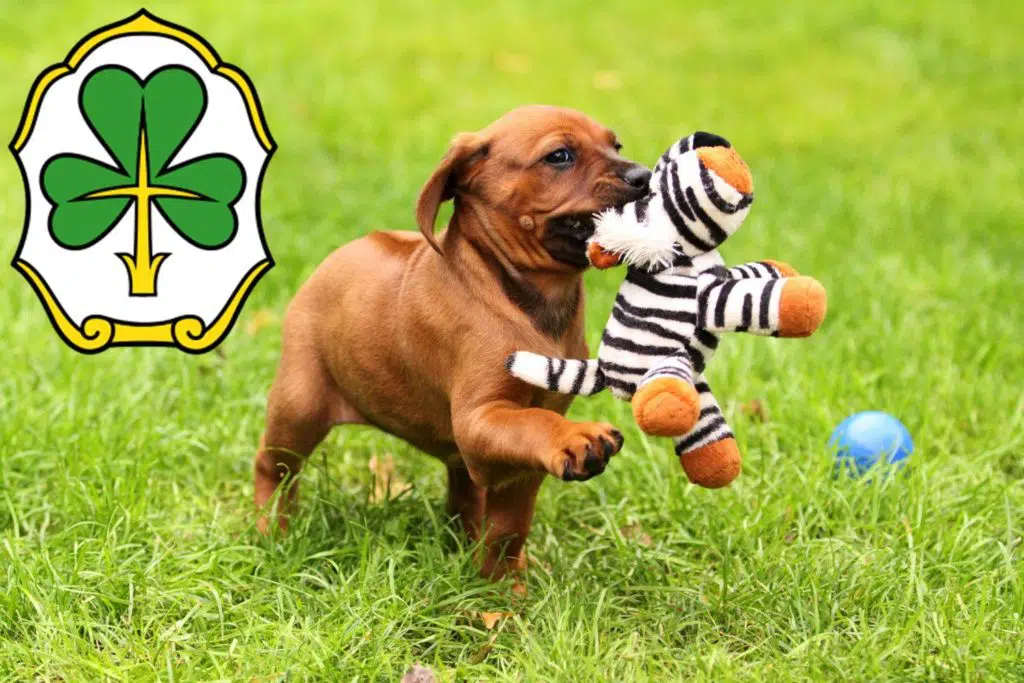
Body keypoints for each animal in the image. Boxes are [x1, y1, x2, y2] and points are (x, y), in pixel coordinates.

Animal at [258, 104, 655, 581]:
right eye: (559, 156)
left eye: (615, 145)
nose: (645, 176)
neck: (528, 296)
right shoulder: (482, 417)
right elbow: (534, 423)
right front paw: (577, 435)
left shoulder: (517, 464)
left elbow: (509, 528)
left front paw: (502, 589)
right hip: (299, 406)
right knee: (275, 468)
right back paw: (270, 531)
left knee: (466, 492)